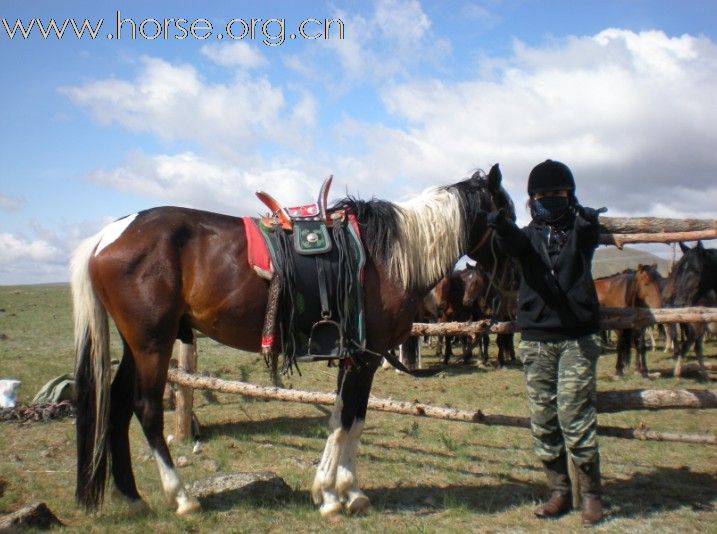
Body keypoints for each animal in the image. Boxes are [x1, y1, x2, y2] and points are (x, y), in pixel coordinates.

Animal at [70, 164, 512, 520]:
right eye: (506, 213)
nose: (511, 276)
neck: (390, 258)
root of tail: (107, 235)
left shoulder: (354, 355)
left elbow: (347, 417)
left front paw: (343, 490)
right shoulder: (365, 357)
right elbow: (349, 420)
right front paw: (335, 496)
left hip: (137, 344)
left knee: (117, 405)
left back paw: (132, 498)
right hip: (152, 343)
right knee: (145, 409)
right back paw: (181, 498)